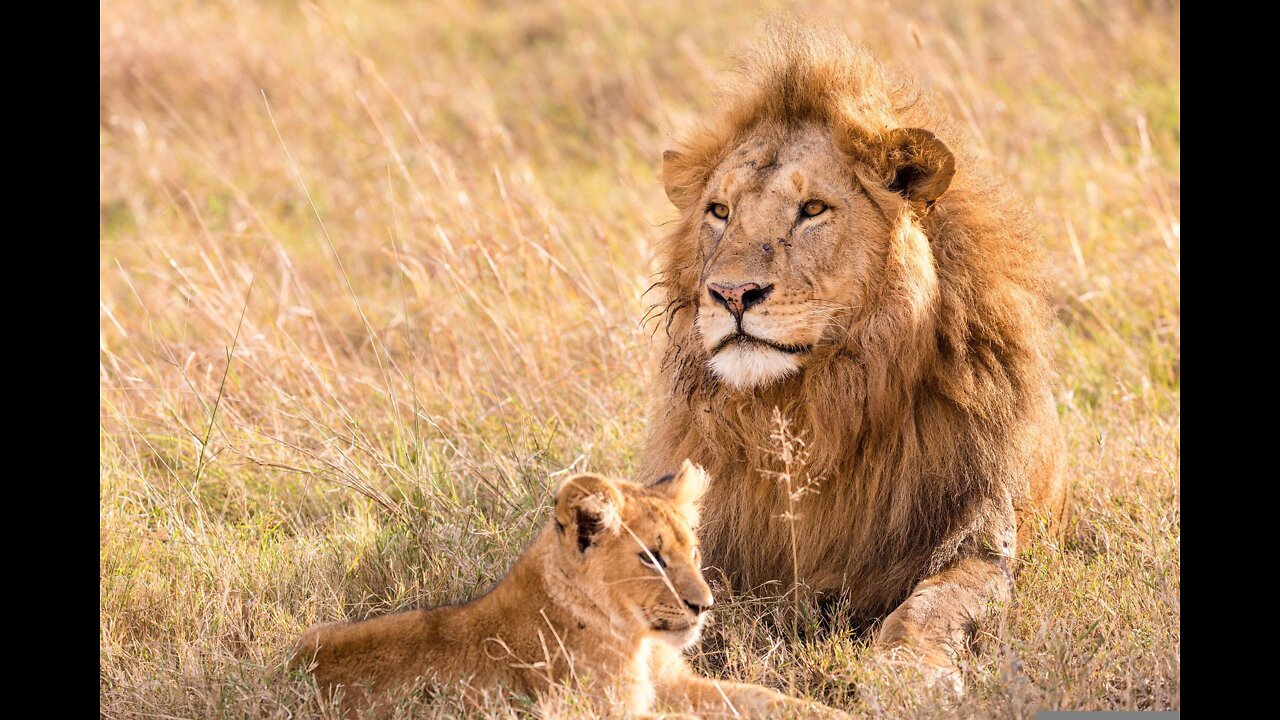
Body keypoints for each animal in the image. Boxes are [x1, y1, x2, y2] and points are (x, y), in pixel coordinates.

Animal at [640, 25, 1070, 681]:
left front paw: (907, 676)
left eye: (813, 209)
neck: (810, 408)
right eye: (719, 211)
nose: (732, 293)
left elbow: (934, 606)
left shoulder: (977, 537)